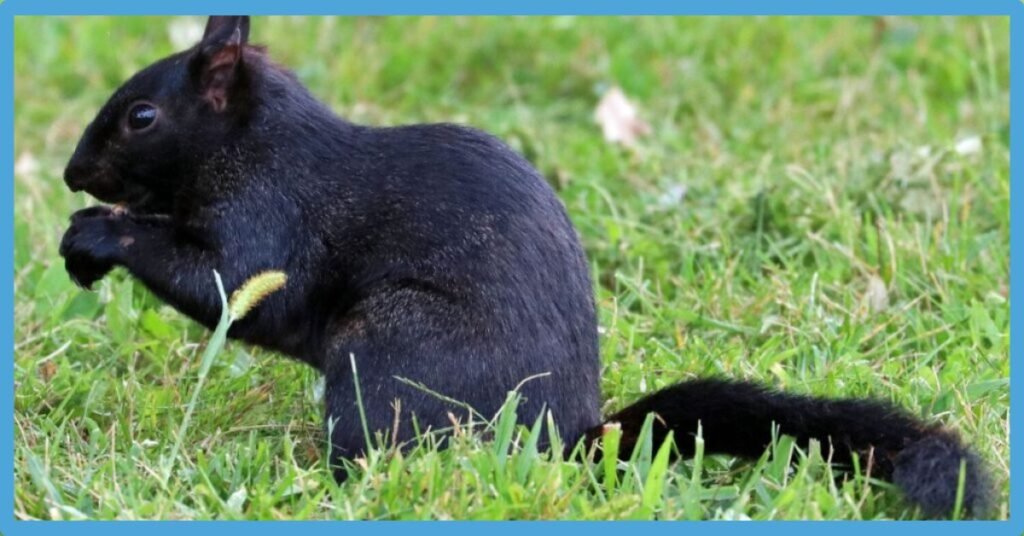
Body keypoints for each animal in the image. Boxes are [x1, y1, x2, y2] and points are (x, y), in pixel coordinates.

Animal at [59, 16, 991, 518]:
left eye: (141, 115)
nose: (72, 173)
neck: (257, 144)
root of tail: (568, 443)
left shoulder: (273, 217)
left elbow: (233, 288)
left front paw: (99, 236)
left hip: (391, 345)